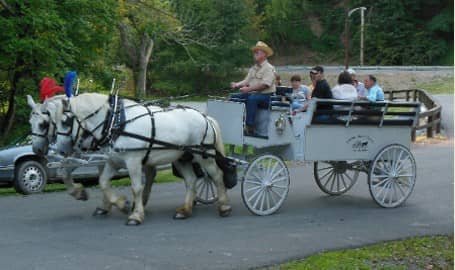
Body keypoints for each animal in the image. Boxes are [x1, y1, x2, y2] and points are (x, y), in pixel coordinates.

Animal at [52, 94, 232, 225]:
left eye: (65, 122)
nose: (60, 149)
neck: (115, 123)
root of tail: (205, 117)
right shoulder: (113, 161)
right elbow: (103, 182)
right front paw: (122, 204)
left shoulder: (133, 161)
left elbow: (136, 188)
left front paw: (136, 215)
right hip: (182, 158)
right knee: (191, 180)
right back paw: (185, 210)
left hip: (204, 155)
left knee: (217, 175)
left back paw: (224, 206)